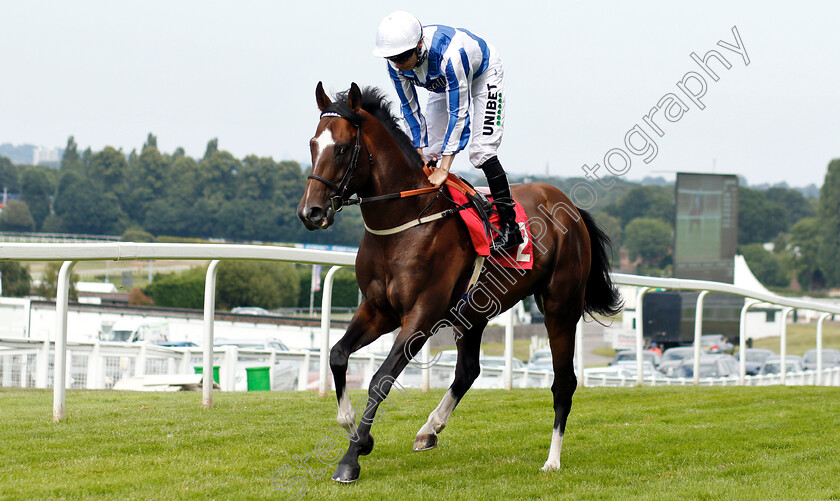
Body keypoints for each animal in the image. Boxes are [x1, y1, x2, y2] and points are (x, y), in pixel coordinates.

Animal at [298, 81, 620, 480]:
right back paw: (429, 428)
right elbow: (338, 354)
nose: (311, 212)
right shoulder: (377, 309)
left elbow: (380, 379)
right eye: (313, 144)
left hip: (561, 307)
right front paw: (353, 428)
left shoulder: (421, 316)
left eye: (342, 148)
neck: (403, 224)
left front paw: (351, 456)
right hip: (475, 311)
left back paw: (552, 459)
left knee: (564, 382)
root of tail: (570, 207)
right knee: (468, 371)